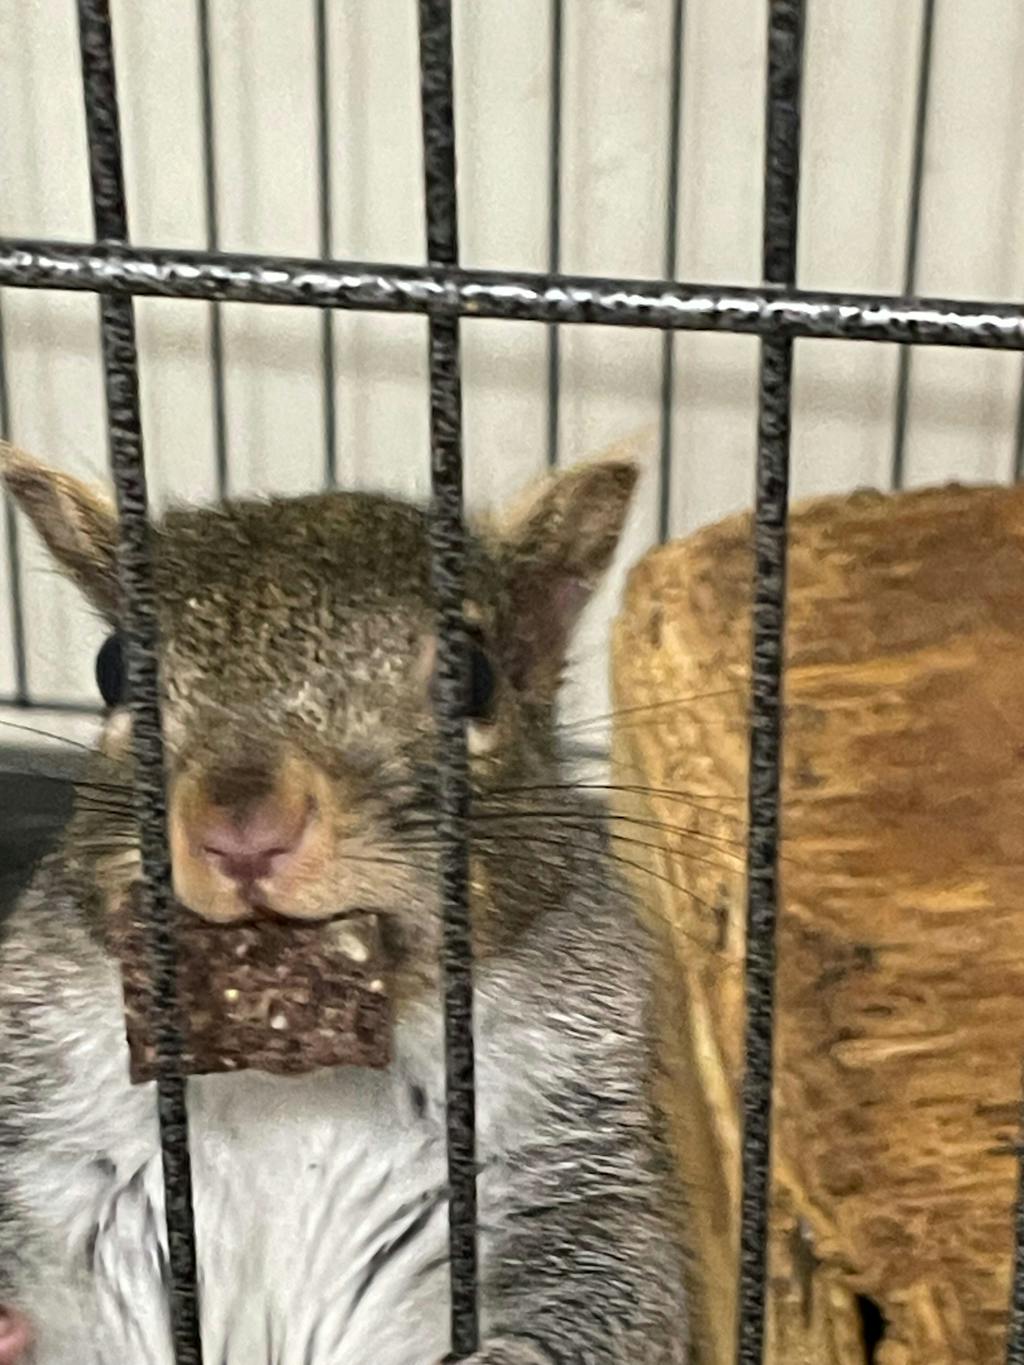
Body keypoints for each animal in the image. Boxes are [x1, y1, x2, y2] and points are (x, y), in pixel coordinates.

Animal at [0, 444, 690, 1364]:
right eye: (113, 667)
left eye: (473, 677)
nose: (242, 827)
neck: (293, 1081)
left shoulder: (585, 1180)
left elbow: (616, 1305)